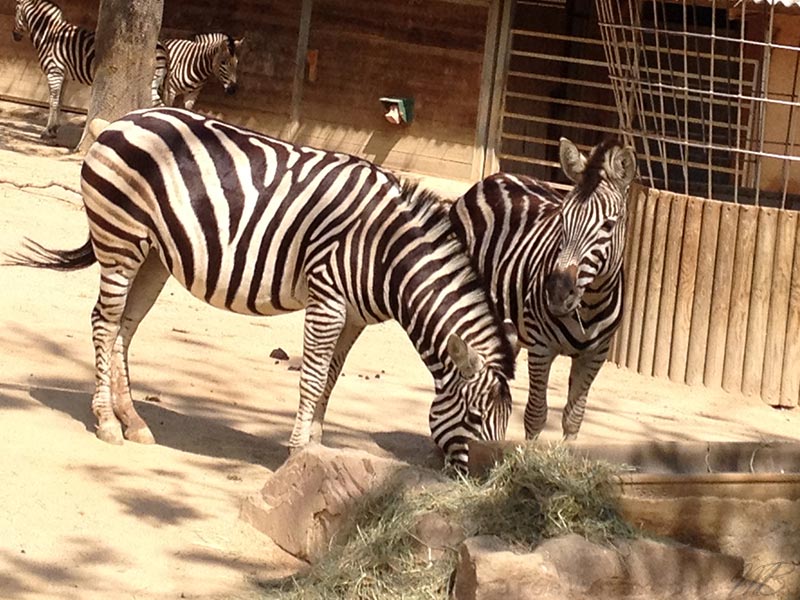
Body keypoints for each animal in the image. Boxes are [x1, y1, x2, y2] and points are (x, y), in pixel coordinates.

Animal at [6, 108, 516, 474]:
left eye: (504, 426)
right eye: (475, 420)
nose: (484, 484)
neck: (386, 253)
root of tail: (121, 119)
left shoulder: (353, 316)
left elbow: (331, 376)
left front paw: (317, 451)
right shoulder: (328, 297)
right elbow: (312, 376)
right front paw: (299, 452)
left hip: (153, 257)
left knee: (123, 330)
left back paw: (133, 421)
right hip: (120, 242)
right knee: (103, 322)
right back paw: (109, 423)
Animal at [12, 0, 169, 138]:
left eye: (16, 9)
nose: (14, 36)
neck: (49, 34)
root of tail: (163, 48)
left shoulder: (54, 71)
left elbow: (53, 101)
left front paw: (48, 130)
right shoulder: (63, 75)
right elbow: (60, 102)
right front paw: (55, 128)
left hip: (151, 83)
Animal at [446, 138, 636, 442]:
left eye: (608, 225)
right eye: (563, 219)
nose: (557, 292)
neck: (590, 304)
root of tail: (499, 176)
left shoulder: (596, 354)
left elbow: (573, 417)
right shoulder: (540, 346)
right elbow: (536, 415)